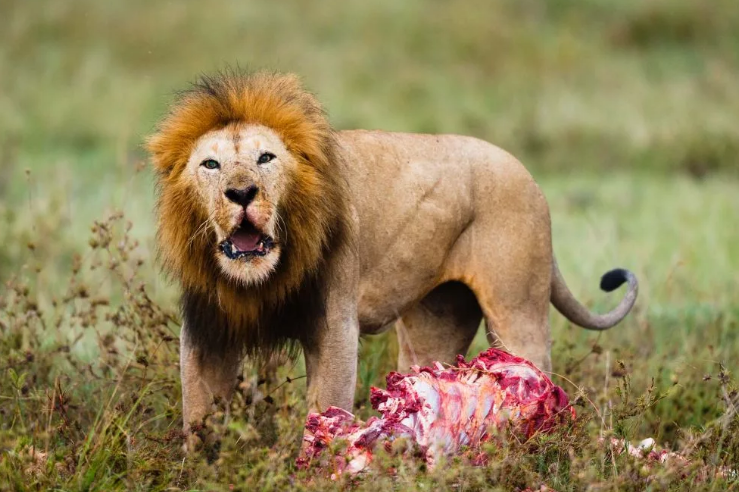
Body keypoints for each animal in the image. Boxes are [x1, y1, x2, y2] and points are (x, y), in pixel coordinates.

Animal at [147, 69, 640, 438]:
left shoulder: (334, 324)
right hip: (436, 322)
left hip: (517, 309)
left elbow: (324, 406)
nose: (241, 192)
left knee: (536, 375)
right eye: (210, 165)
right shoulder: (206, 328)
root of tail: (528, 174)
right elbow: (198, 416)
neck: (260, 277)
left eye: (266, 158)